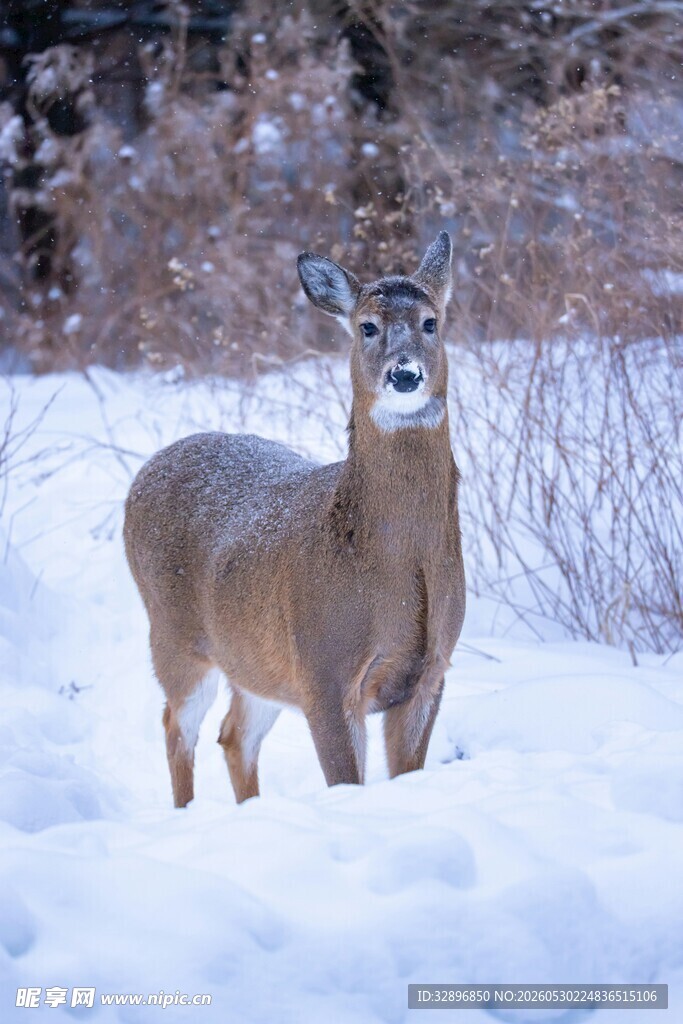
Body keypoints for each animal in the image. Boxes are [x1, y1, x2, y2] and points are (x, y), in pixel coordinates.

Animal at [123, 231, 466, 808]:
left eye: (430, 322)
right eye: (366, 326)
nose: (404, 373)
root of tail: (143, 475)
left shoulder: (431, 671)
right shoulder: (324, 669)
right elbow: (346, 781)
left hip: (255, 658)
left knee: (234, 734)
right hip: (171, 632)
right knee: (176, 725)